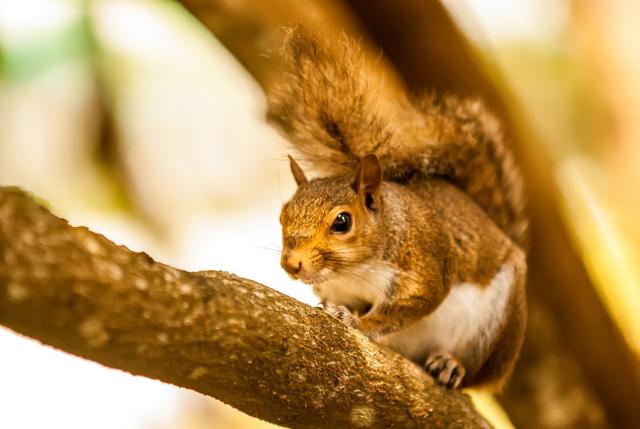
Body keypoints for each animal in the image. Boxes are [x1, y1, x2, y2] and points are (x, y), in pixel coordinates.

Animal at [268, 25, 528, 388]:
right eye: (282, 216)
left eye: (342, 222)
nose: (291, 265)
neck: (353, 272)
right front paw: (341, 311)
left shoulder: (425, 266)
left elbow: (407, 306)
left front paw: (360, 323)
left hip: (498, 324)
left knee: (476, 377)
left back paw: (454, 365)